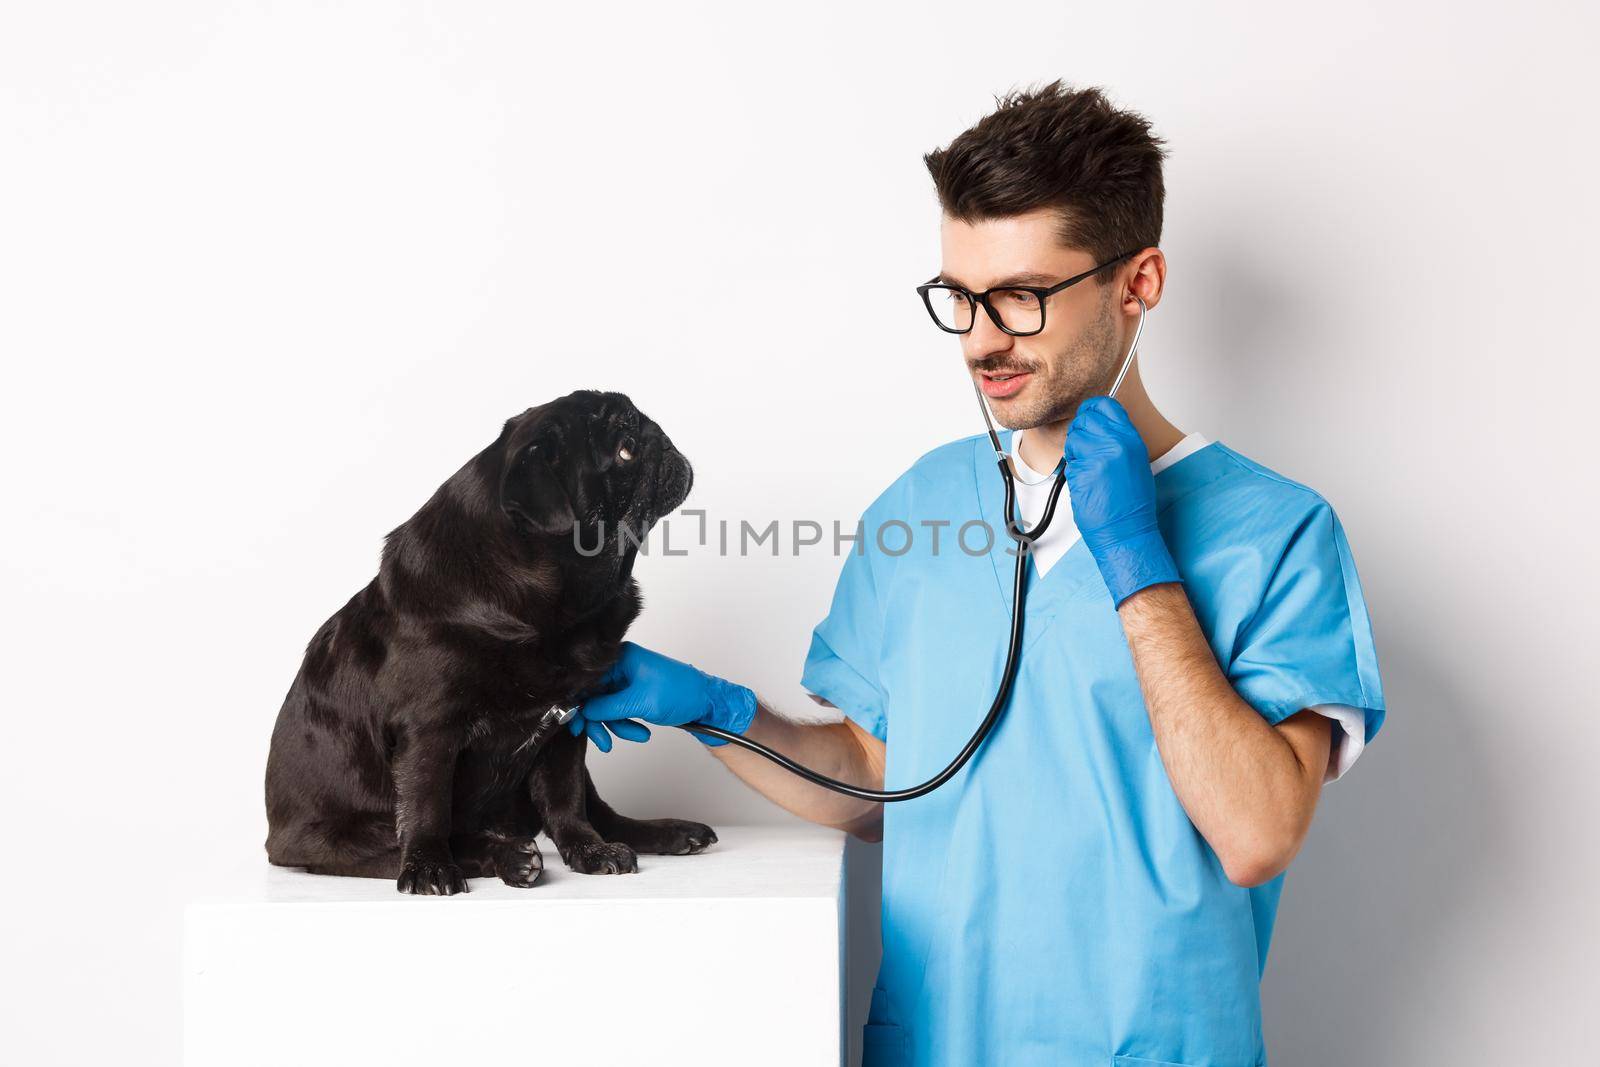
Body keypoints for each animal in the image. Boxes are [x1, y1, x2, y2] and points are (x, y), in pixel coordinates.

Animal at [265, 391, 716, 895]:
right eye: (625, 449)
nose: (657, 434)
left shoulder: (568, 726)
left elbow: (566, 801)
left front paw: (589, 851)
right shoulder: (429, 731)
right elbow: (427, 808)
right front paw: (428, 868)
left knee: (596, 811)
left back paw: (663, 833)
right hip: (336, 837)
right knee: (407, 841)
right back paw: (506, 856)